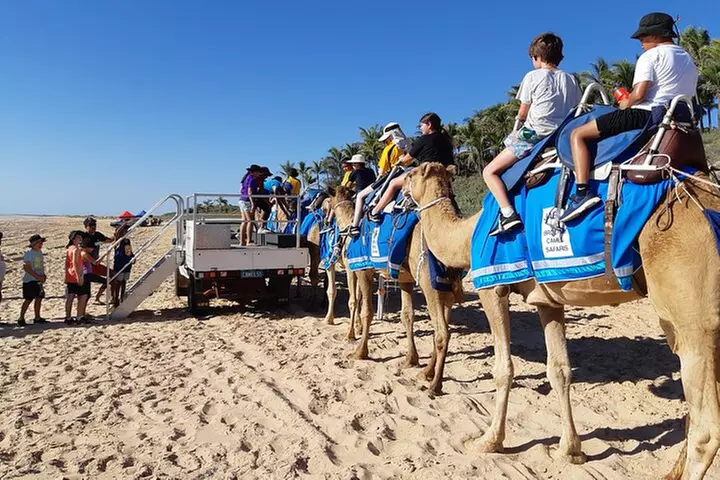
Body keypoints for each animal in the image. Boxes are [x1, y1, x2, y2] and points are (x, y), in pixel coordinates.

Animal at [324, 186, 460, 394]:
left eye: (326, 204)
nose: (325, 220)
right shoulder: (405, 279)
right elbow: (407, 315)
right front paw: (410, 360)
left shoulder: (360, 268)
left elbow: (364, 308)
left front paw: (358, 349)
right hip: (447, 286)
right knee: (443, 326)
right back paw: (426, 372)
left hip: (431, 284)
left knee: (442, 331)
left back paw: (434, 385)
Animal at [403, 162, 720, 479]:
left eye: (409, 176)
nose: (400, 191)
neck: (467, 235)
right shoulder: (547, 301)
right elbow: (559, 370)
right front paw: (570, 451)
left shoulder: (491, 286)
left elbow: (503, 368)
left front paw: (489, 441)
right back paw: (669, 472)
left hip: (692, 312)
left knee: (706, 430)